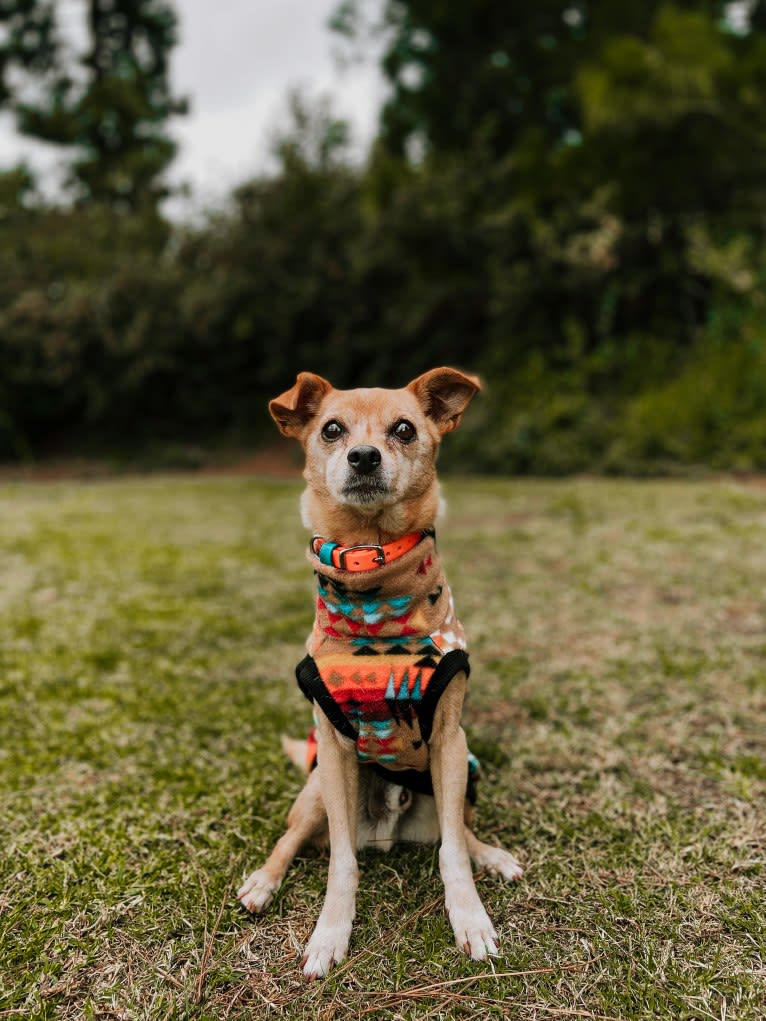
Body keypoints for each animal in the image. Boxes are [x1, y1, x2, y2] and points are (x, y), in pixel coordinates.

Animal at [240, 369, 527, 980]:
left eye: (404, 429)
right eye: (331, 429)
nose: (364, 456)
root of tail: (387, 833)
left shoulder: (449, 741)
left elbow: (452, 854)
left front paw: (470, 918)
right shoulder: (333, 748)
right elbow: (341, 862)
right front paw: (330, 932)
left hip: (459, 777)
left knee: (459, 831)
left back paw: (491, 855)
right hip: (315, 792)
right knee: (291, 839)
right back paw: (263, 882)